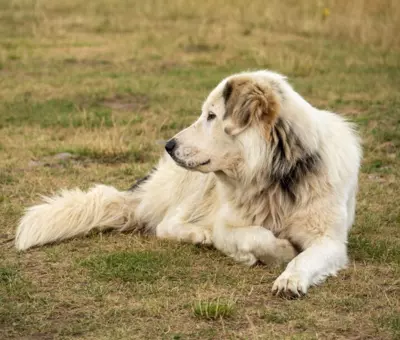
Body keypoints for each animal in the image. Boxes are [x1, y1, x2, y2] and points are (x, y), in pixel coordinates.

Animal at [14, 69, 362, 298]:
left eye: (211, 116)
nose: (169, 145)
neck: (275, 176)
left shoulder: (330, 241)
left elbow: (306, 258)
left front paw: (291, 279)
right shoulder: (228, 224)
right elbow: (258, 237)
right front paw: (276, 249)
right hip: (196, 184)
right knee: (165, 224)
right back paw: (199, 235)